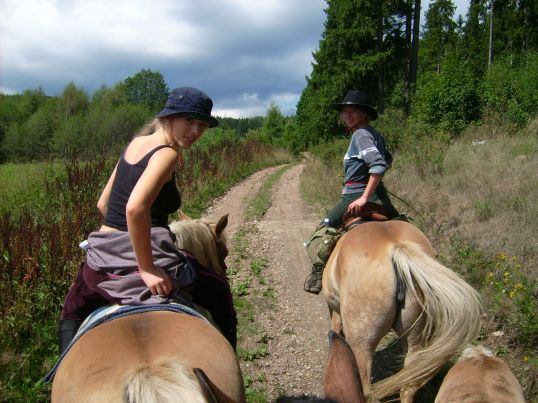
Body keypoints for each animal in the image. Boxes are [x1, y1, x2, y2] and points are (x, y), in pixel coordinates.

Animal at [320, 221, 480, 403]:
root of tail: (397, 250)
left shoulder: (335, 312)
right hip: (416, 337)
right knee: (409, 385)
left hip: (361, 342)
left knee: (363, 388)